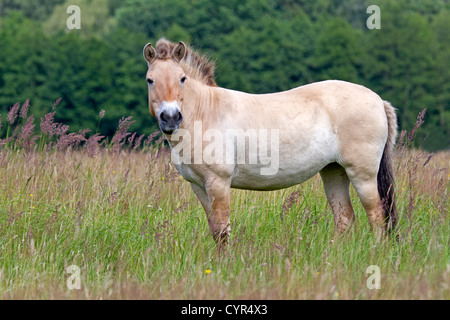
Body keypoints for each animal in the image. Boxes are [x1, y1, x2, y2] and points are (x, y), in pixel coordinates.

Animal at [143, 38, 398, 249]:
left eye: (182, 79)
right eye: (150, 80)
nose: (171, 117)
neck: (205, 112)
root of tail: (378, 100)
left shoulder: (218, 183)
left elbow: (223, 230)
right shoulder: (198, 186)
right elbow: (215, 230)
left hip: (362, 175)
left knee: (377, 216)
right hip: (333, 171)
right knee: (345, 218)